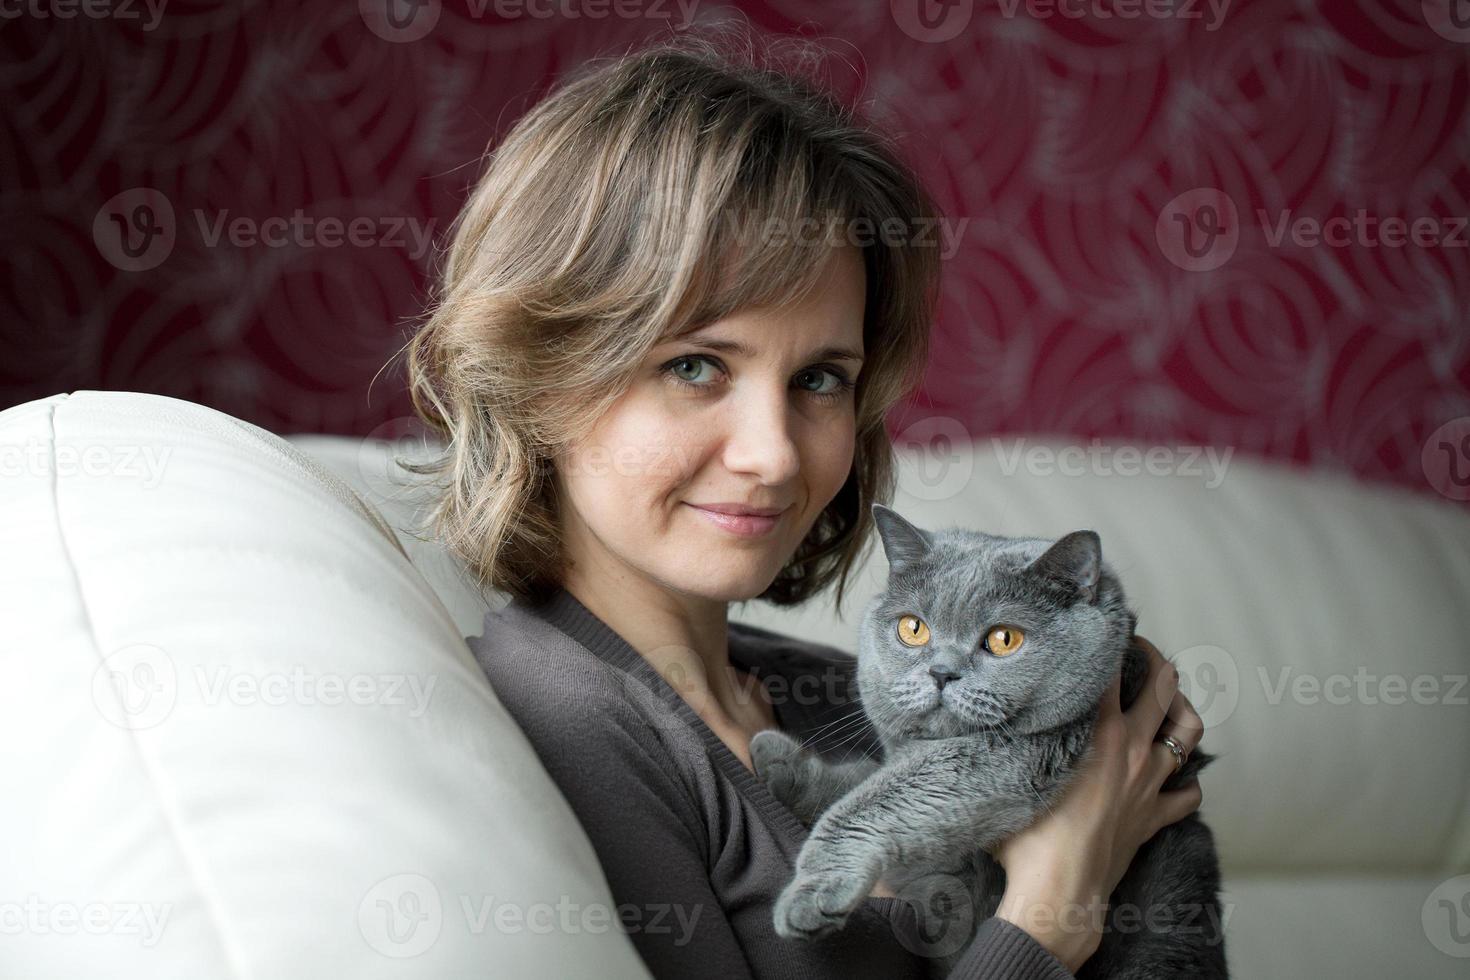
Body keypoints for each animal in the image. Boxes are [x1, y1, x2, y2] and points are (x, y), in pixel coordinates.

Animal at [752, 502, 1223, 975]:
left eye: (1003, 639)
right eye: (913, 629)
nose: (941, 672)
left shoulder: (1021, 753)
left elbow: (879, 800)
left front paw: (808, 897)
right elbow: (869, 780)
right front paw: (777, 758)